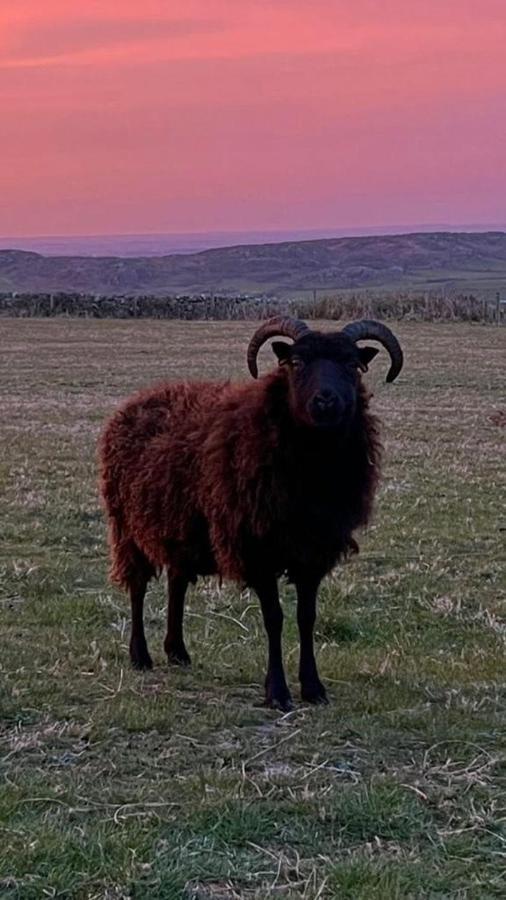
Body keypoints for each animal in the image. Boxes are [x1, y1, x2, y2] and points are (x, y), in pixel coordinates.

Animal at [100, 316, 404, 712]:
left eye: (353, 365)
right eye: (296, 363)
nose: (325, 400)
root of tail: (135, 401)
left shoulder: (313, 551)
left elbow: (307, 618)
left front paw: (313, 687)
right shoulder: (257, 548)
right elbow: (274, 618)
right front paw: (277, 692)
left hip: (182, 530)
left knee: (176, 584)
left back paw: (178, 651)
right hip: (127, 527)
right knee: (137, 587)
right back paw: (141, 656)